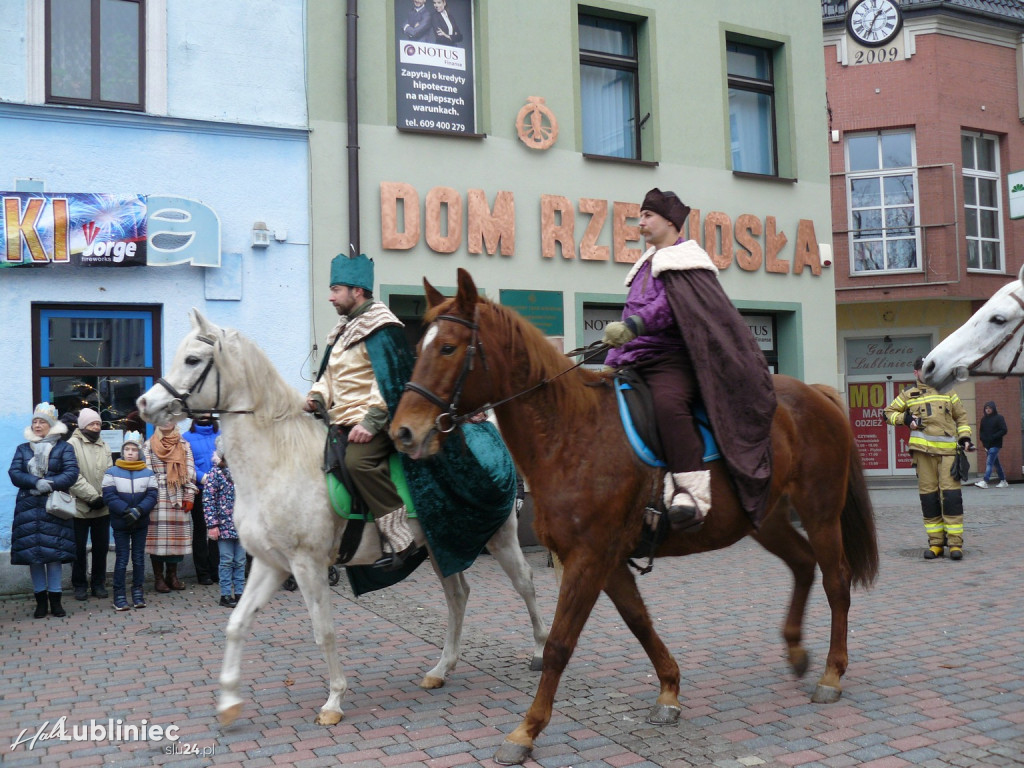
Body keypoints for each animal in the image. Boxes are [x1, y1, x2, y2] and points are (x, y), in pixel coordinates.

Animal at [137, 311, 552, 729]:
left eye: (192, 359)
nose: (144, 403)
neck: (279, 459)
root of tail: (485, 426)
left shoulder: (308, 565)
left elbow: (324, 632)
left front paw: (334, 700)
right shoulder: (272, 564)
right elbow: (237, 623)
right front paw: (228, 702)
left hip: (499, 535)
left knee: (525, 583)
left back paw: (539, 652)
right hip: (440, 544)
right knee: (458, 596)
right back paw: (441, 668)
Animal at [391, 268, 880, 765]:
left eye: (448, 347)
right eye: (419, 346)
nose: (403, 432)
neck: (572, 433)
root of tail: (816, 393)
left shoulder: (590, 558)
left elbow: (559, 644)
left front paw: (525, 730)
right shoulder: (606, 561)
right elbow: (639, 621)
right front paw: (668, 691)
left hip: (820, 512)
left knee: (836, 581)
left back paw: (831, 674)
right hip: (768, 518)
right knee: (802, 564)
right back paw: (797, 651)